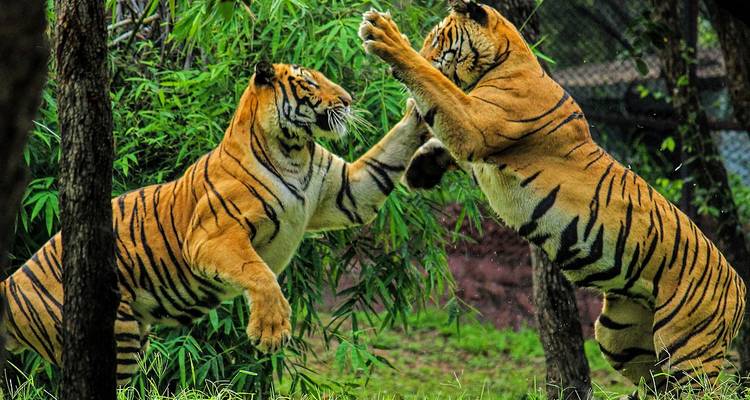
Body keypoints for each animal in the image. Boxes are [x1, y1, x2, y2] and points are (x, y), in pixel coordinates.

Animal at [0, 61, 428, 386]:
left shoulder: (347, 192)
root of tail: (11, 283)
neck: (294, 151)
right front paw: (270, 331)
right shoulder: (213, 235)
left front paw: (419, 107)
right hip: (112, 340)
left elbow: (388, 154)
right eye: (309, 82)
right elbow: (258, 272)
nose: (349, 100)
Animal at [358, 0, 746, 393]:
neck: (505, 60)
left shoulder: (476, 123)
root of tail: (740, 286)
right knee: (654, 383)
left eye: (437, 40)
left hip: (687, 349)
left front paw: (385, 37)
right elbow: (442, 135)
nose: (424, 50)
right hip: (619, 335)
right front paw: (420, 169)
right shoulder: (475, 137)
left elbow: (435, 86)